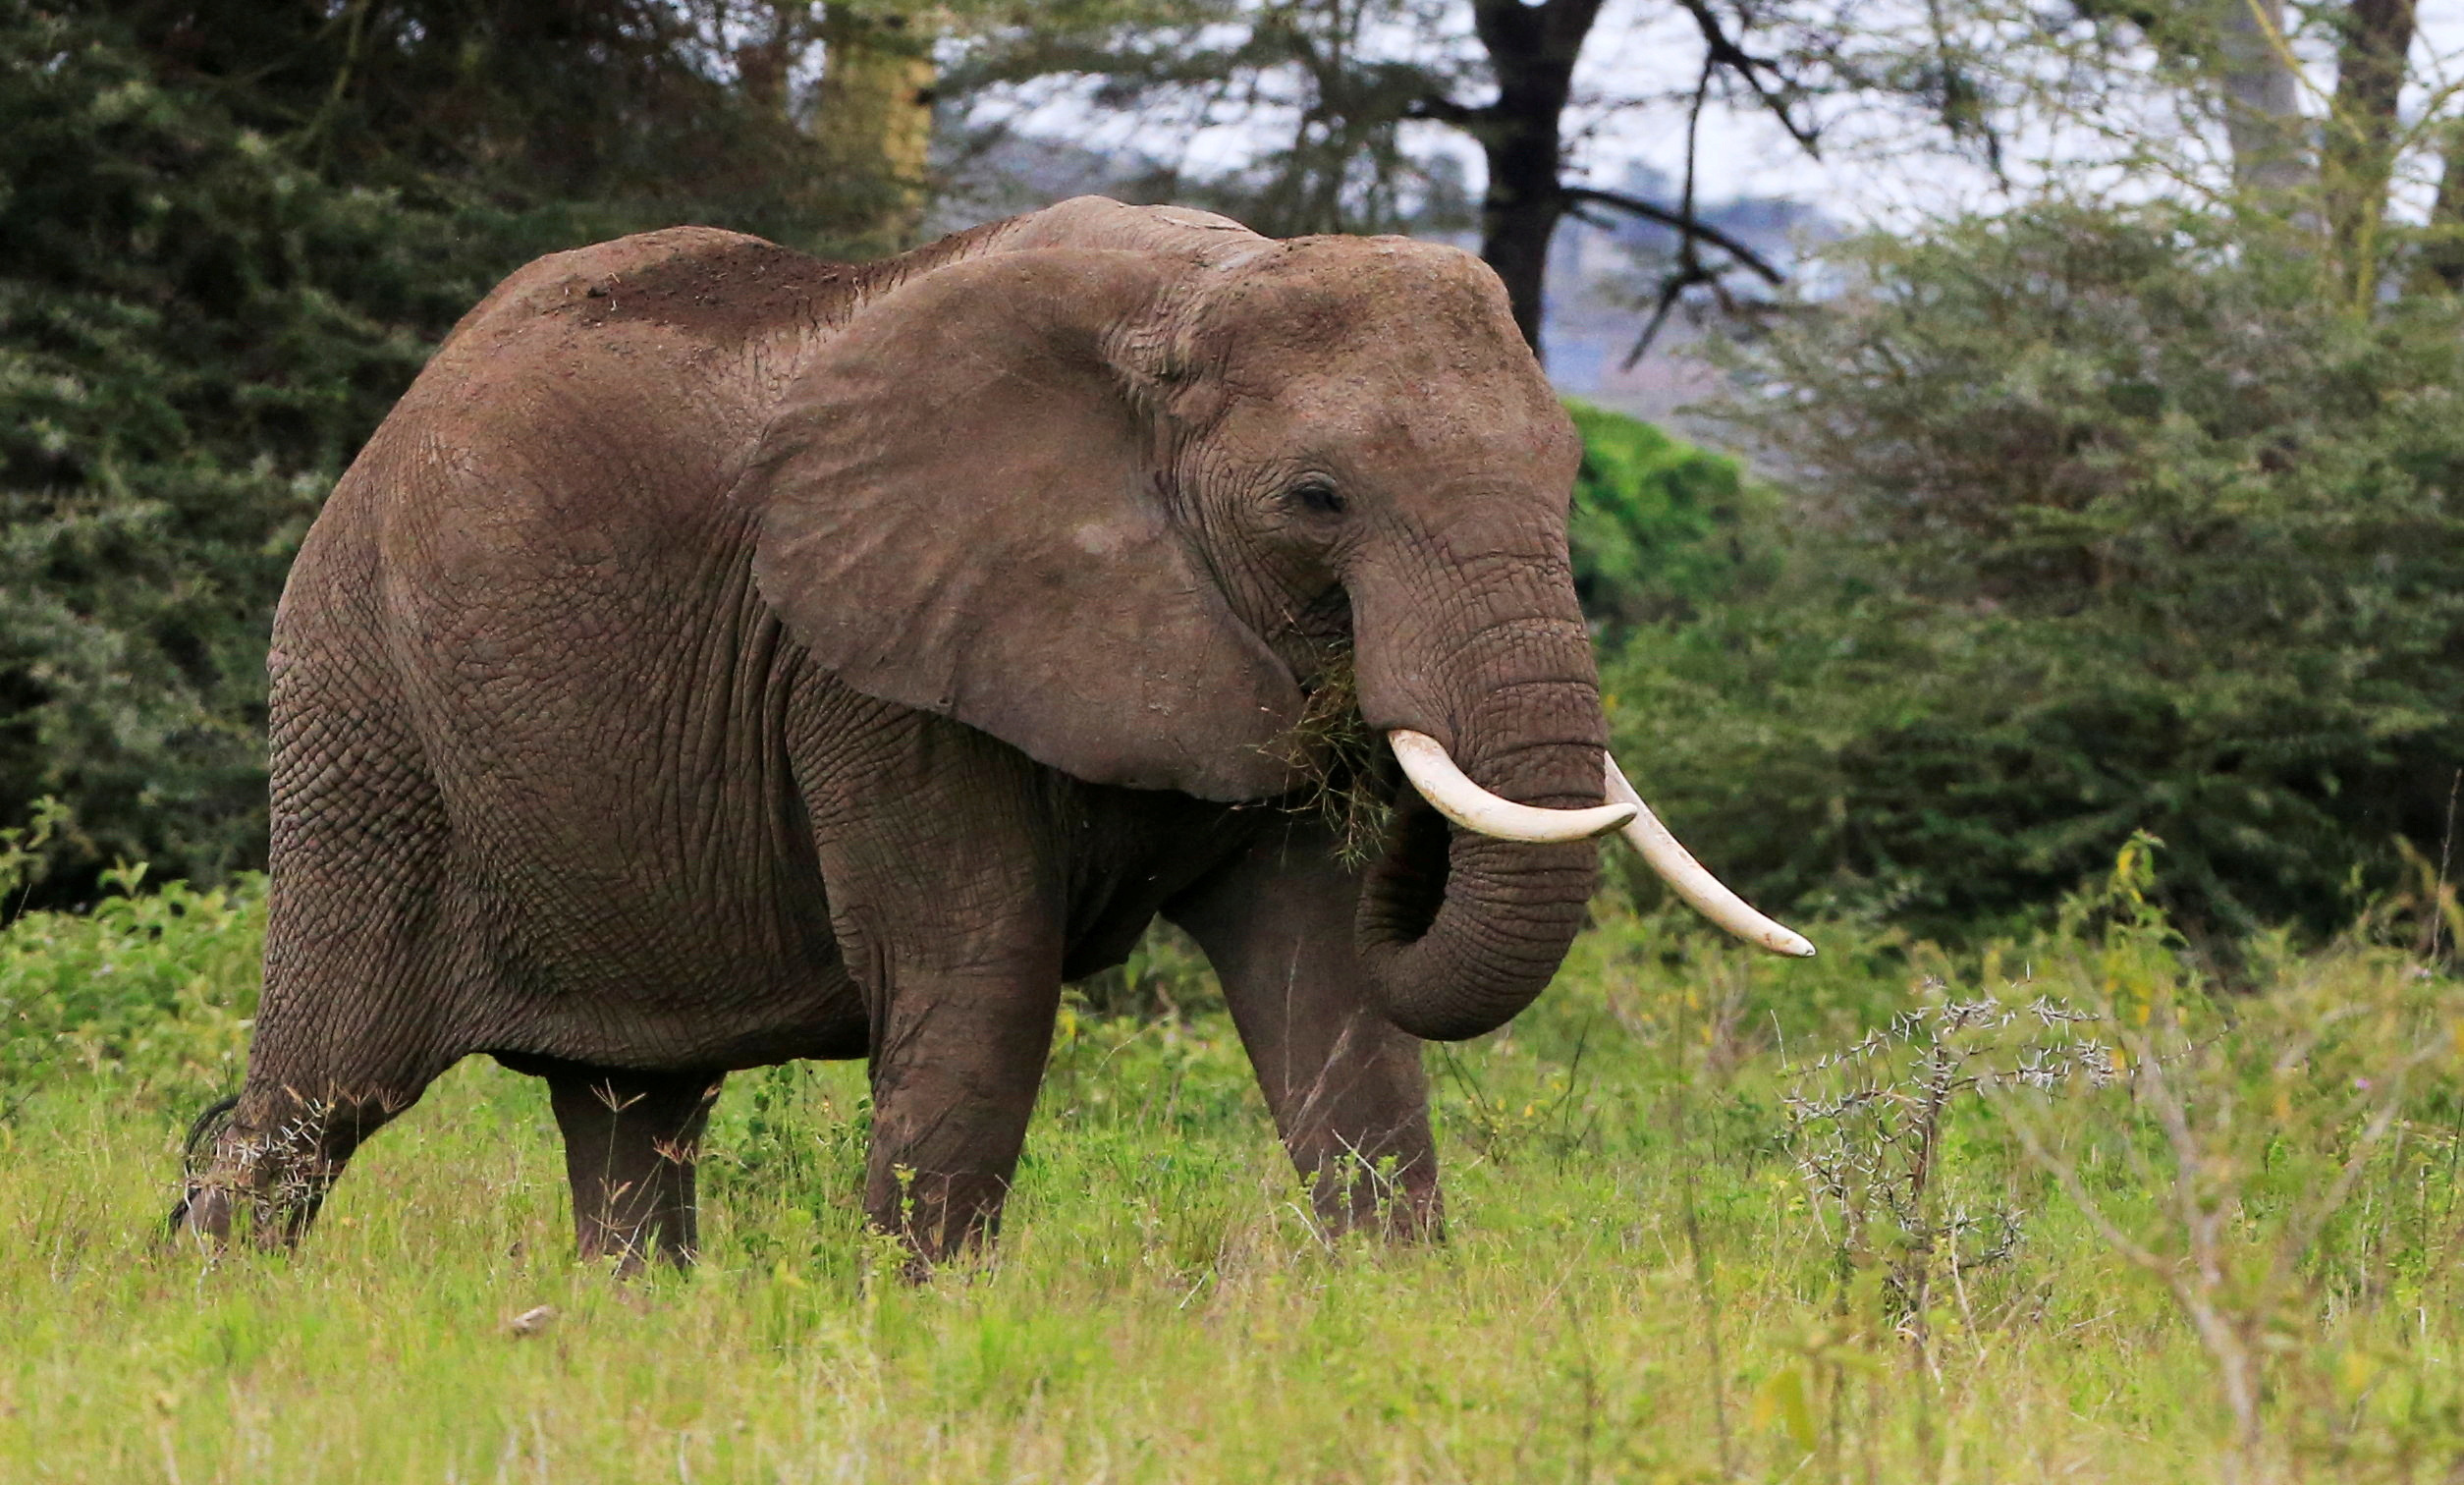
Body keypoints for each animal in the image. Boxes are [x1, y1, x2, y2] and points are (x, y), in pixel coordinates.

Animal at [163, 192, 1803, 1270]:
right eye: (1318, 500)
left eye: (1571, 471)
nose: (1383, 733)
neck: (1187, 302)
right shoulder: (873, 666)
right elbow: (983, 978)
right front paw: (914, 1322)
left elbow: (1330, 987)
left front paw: (1393, 1307)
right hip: (362, 712)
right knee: (322, 1092)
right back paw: (217, 1301)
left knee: (629, 1117)